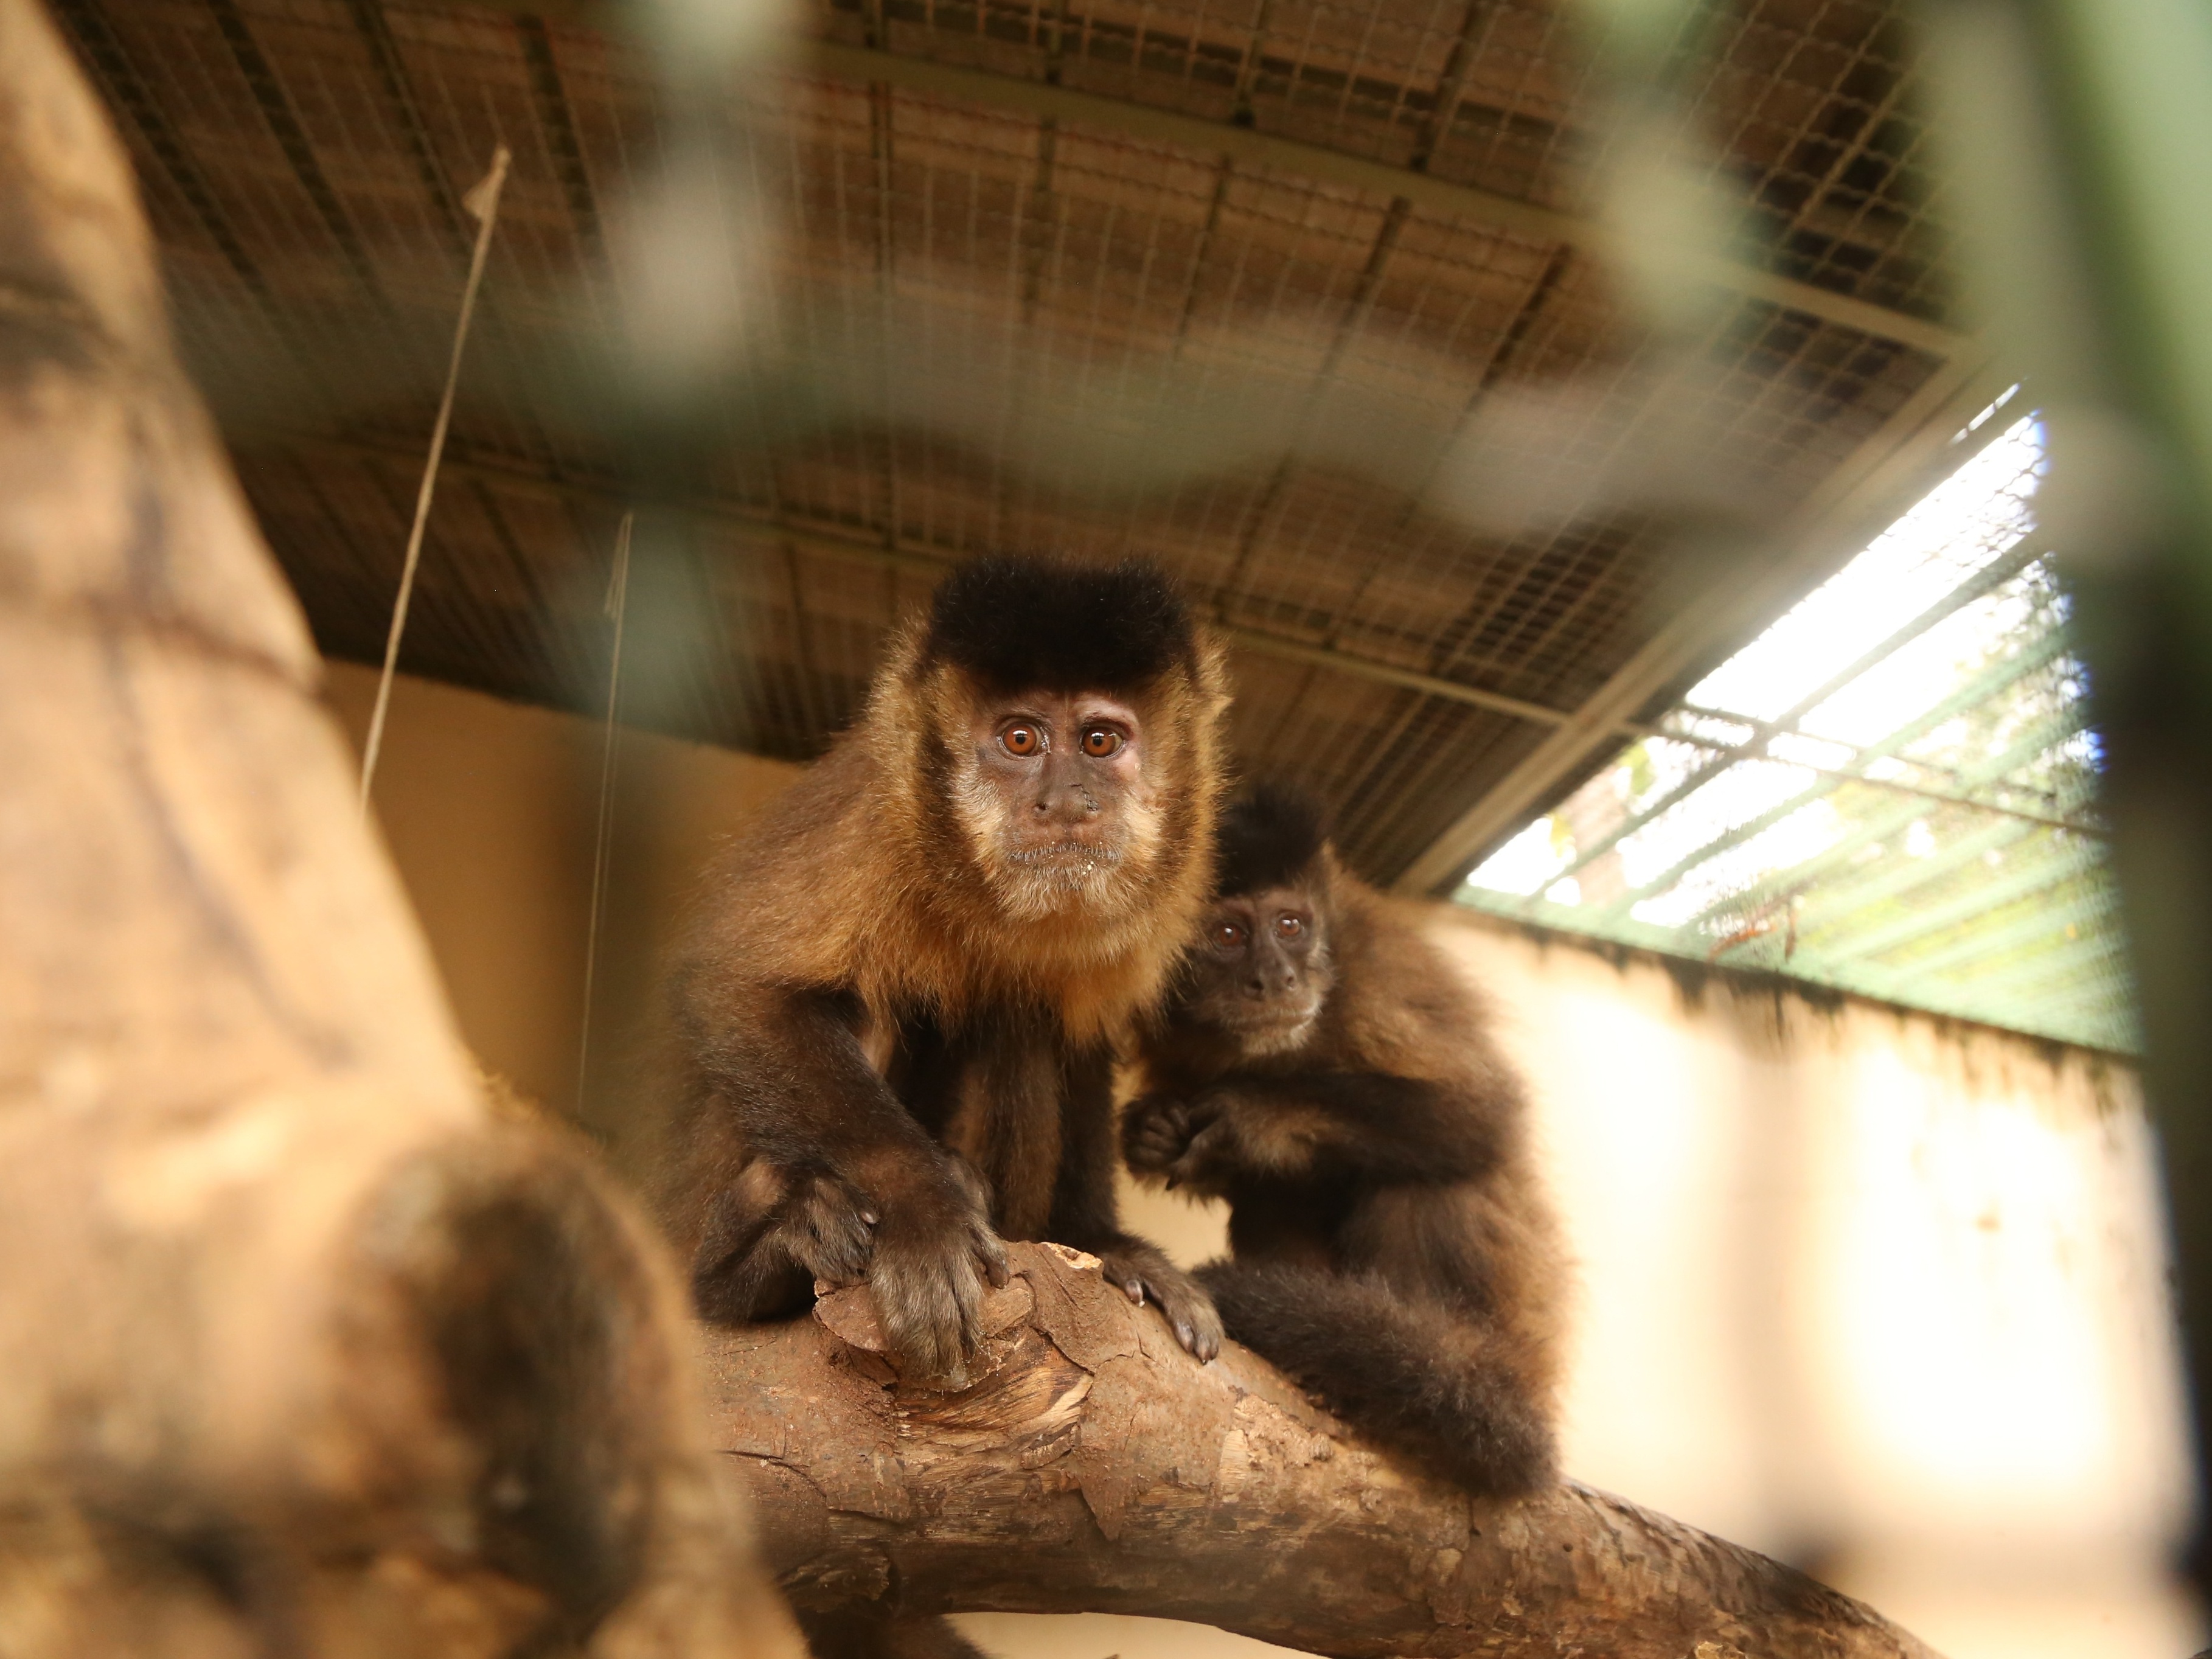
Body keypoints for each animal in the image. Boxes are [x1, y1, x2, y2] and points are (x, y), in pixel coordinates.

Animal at [663, 559, 1239, 1389]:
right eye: (1021, 738)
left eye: (1100, 741)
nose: (1065, 802)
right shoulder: (876, 813)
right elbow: (740, 988)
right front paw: (923, 1214)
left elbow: (1080, 1043)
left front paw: (1101, 1242)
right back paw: (747, 1261)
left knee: (1020, 1019)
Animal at [1124, 787, 1574, 1504]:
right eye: (1228, 936)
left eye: (1290, 926)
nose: (1277, 978)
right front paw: (1152, 1131)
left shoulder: (1369, 974)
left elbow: (1486, 1112)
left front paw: (1254, 1115)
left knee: (1423, 1173)